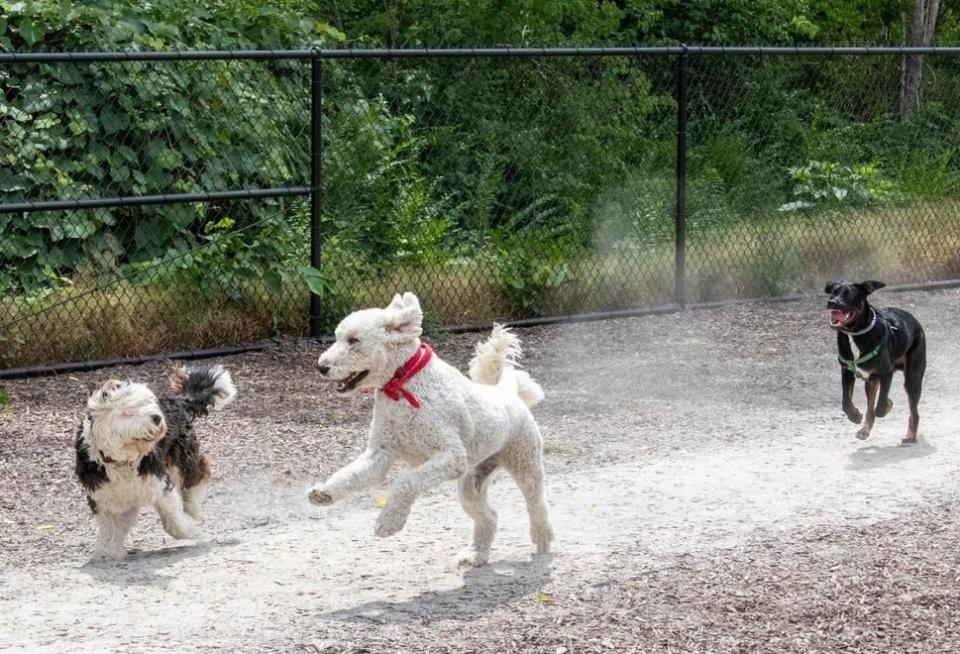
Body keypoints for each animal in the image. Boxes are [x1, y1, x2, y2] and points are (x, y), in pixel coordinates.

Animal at [74, 366, 236, 560]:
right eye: (129, 411)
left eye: (147, 404)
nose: (157, 417)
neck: (122, 460)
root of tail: (178, 402)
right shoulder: (105, 497)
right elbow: (110, 527)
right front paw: (109, 551)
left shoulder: (159, 484)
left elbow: (173, 520)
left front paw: (189, 529)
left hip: (183, 461)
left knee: (200, 474)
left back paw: (192, 508)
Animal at [820, 282, 928, 446]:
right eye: (833, 292)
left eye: (850, 294)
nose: (832, 302)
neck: (855, 334)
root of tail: (914, 320)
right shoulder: (847, 372)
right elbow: (846, 402)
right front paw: (855, 416)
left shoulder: (886, 373)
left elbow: (881, 403)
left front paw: (883, 408)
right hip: (871, 382)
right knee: (871, 408)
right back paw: (865, 430)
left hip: (912, 379)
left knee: (913, 412)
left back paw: (910, 436)